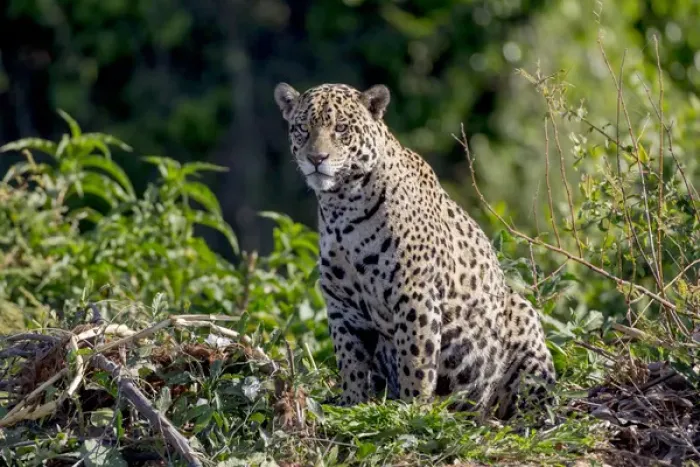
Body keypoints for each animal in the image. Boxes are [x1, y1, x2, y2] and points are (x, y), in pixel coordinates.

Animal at [273, 82, 556, 419]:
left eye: (341, 128)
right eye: (302, 128)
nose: (317, 158)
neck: (341, 204)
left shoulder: (413, 292)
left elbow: (416, 358)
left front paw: (412, 408)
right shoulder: (341, 302)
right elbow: (350, 358)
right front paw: (352, 403)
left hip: (523, 321)